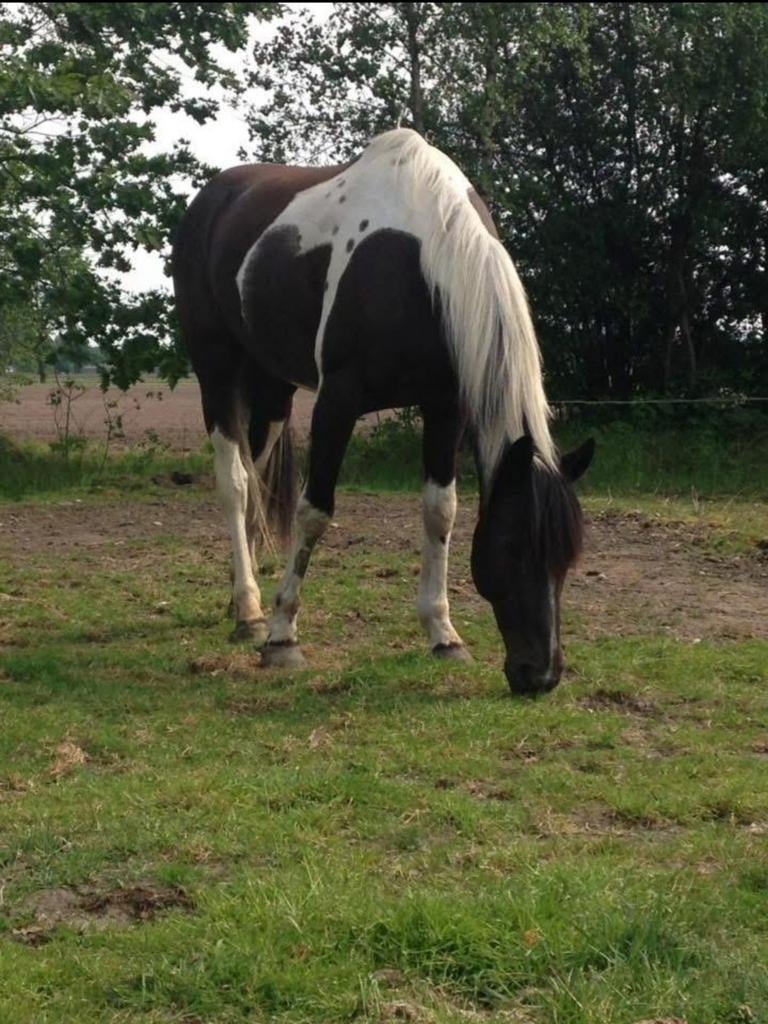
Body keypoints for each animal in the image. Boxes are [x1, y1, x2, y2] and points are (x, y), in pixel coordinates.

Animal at [172, 128, 594, 694]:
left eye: (568, 557)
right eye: (512, 546)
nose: (541, 675)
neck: (419, 260)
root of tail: (212, 197)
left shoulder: (445, 407)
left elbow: (441, 511)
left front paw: (444, 634)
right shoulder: (337, 401)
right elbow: (314, 512)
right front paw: (283, 636)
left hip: (273, 387)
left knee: (255, 476)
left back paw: (242, 598)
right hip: (215, 367)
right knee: (235, 484)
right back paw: (251, 613)